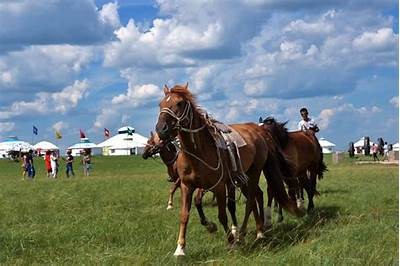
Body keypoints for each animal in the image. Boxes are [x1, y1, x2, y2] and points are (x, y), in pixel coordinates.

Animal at [155, 84, 302, 256]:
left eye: (179, 103)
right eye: (160, 104)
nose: (161, 129)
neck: (199, 153)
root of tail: (259, 132)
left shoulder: (219, 187)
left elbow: (223, 215)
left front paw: (231, 242)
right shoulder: (187, 186)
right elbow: (185, 215)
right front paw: (180, 249)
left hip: (254, 173)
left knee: (251, 201)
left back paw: (245, 234)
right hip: (243, 178)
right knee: (256, 196)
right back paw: (258, 231)